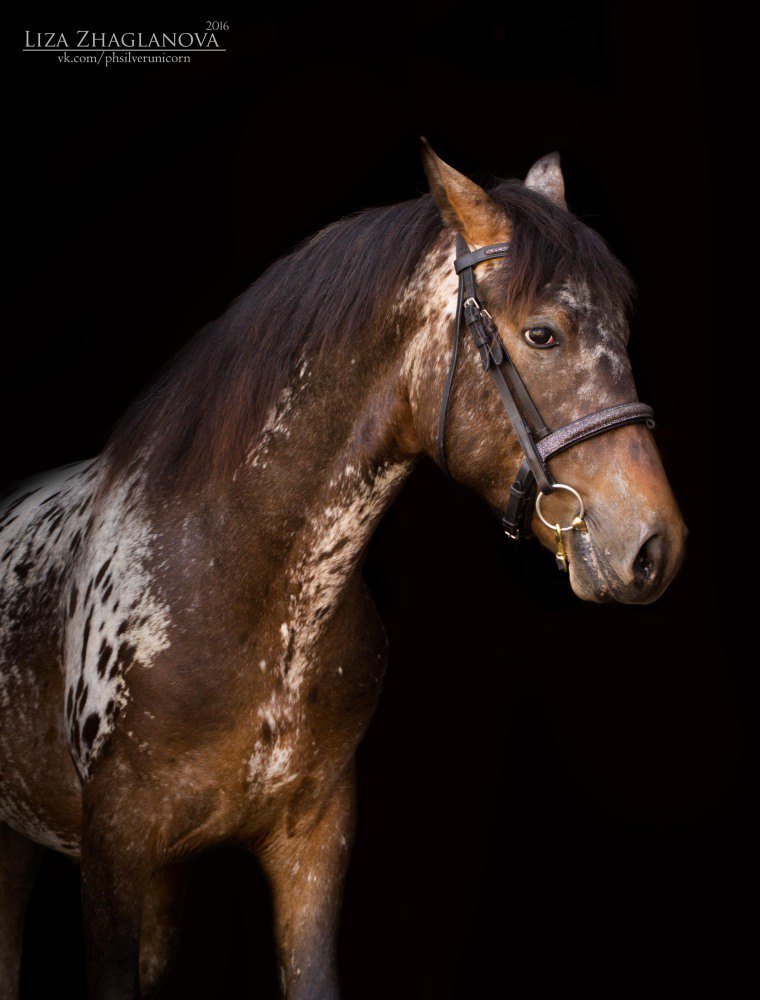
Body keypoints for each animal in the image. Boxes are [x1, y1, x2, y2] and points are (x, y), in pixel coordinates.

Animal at [0, 143, 688, 1000]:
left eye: (621, 331)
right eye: (542, 334)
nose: (655, 545)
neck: (240, 591)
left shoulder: (313, 843)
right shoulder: (113, 857)